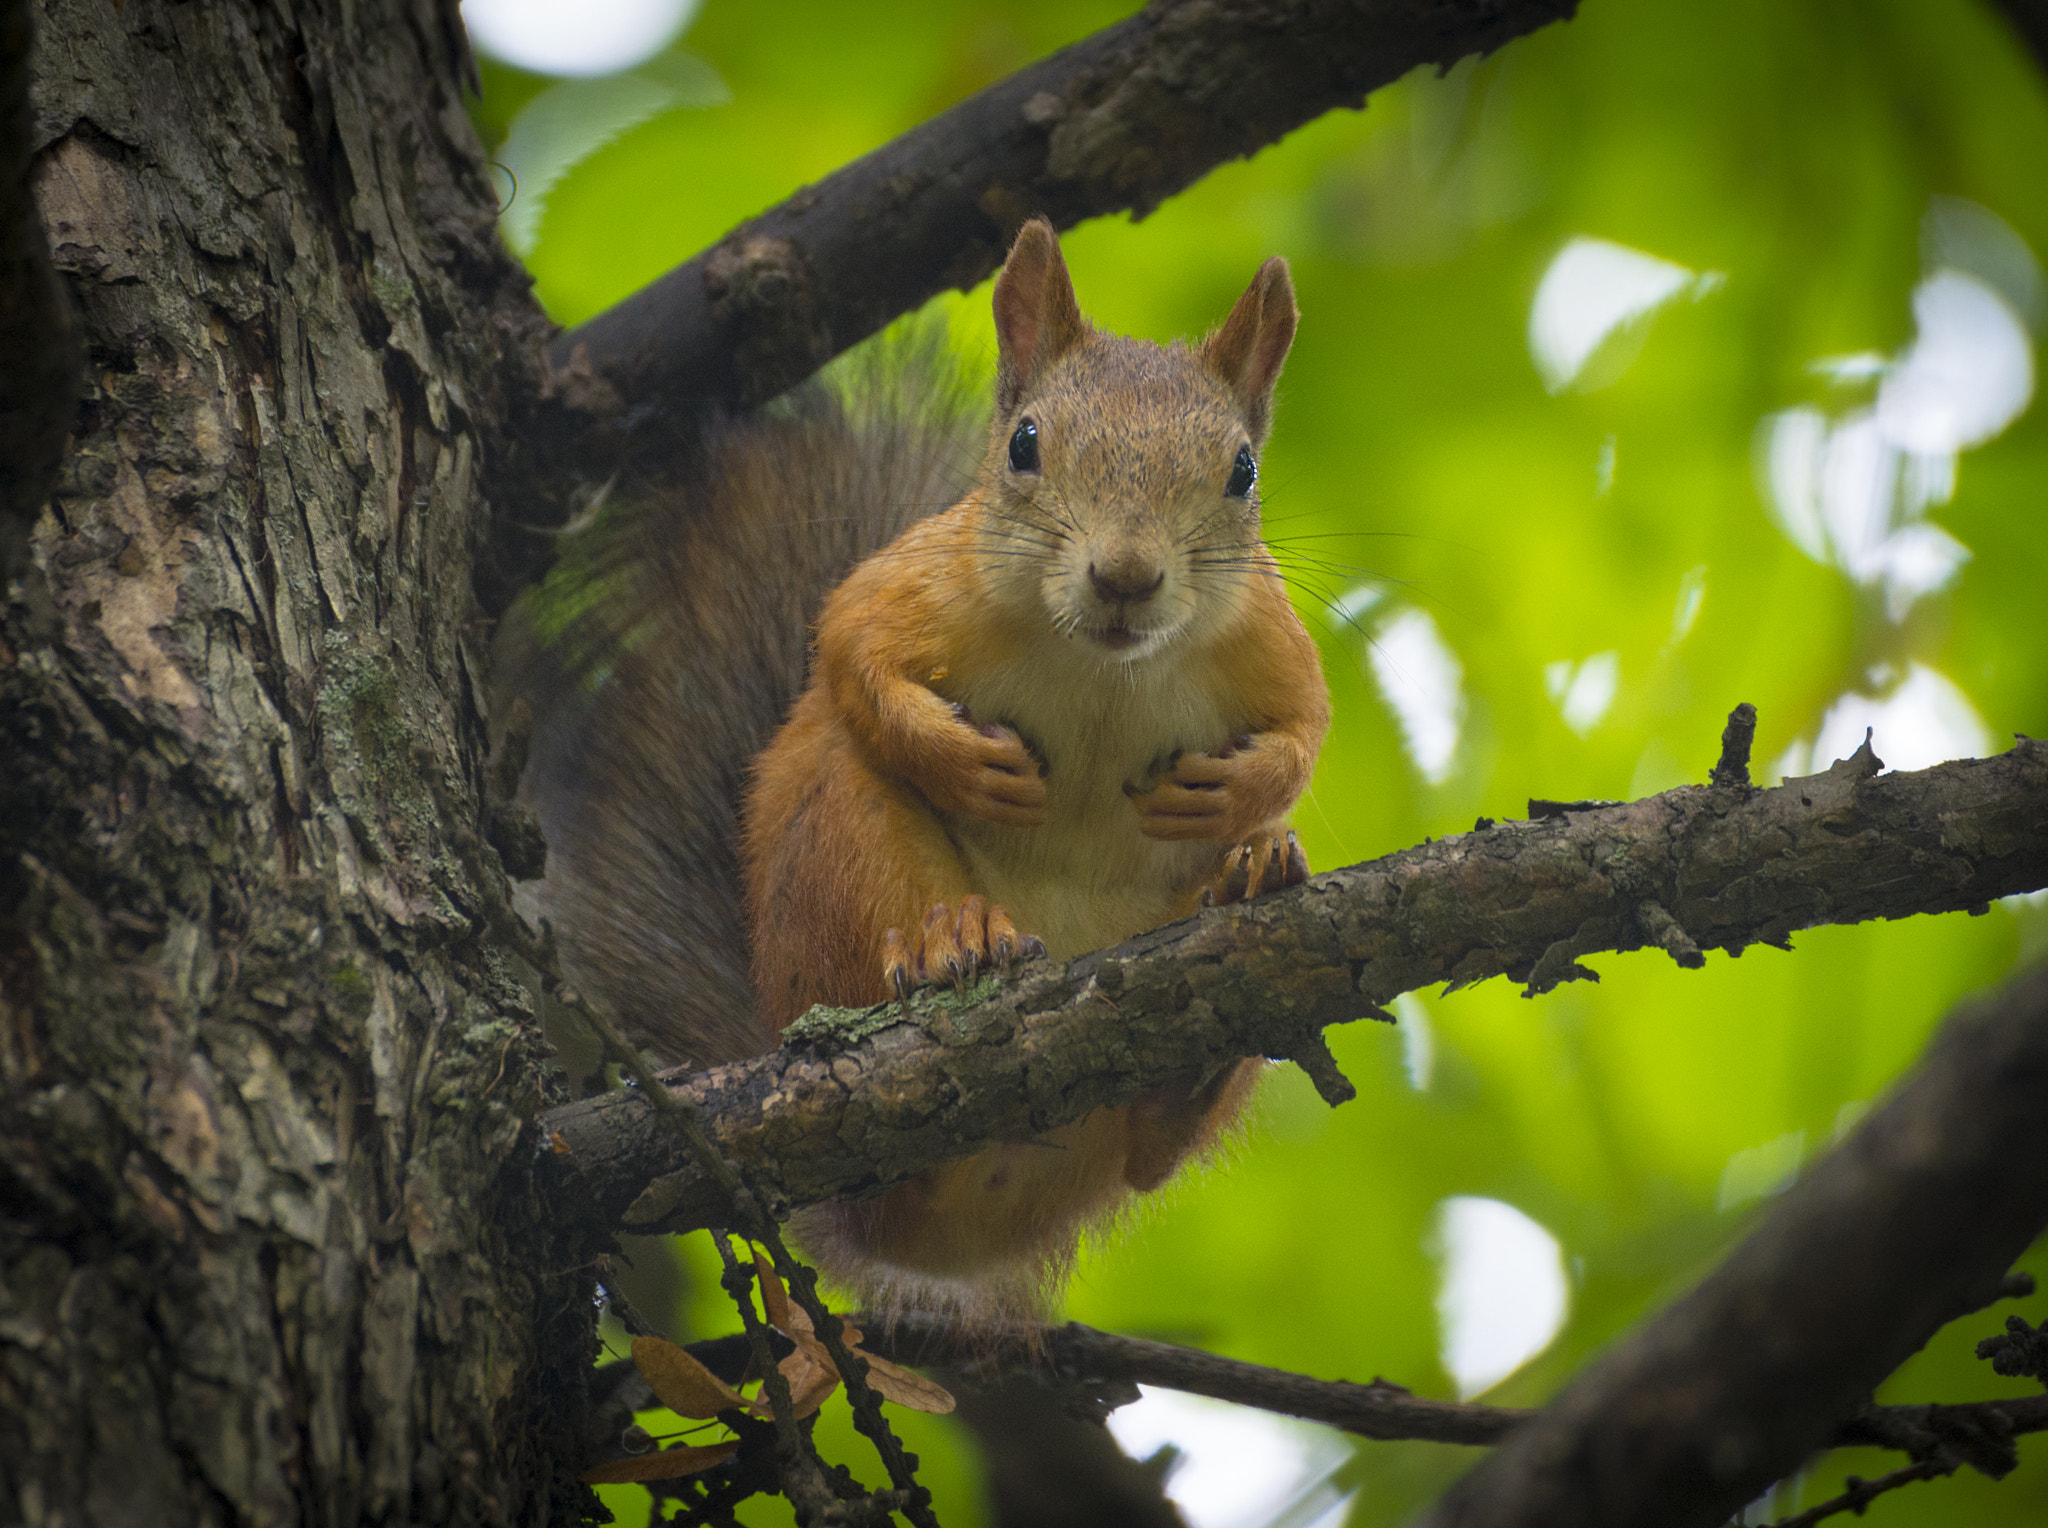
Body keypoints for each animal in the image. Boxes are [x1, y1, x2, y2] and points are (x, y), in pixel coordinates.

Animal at [495, 217, 1327, 1319]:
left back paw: (1245, 894)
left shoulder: (1269, 637)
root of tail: (942, 1244)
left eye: (1241, 472)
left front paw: (1238, 794)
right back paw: (952, 942)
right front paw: (962, 759)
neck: (1099, 668)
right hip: (840, 848)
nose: (1125, 577)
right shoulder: (916, 579)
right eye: (1024, 443)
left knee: (1152, 1151)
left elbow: (1304, 731)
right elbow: (849, 649)